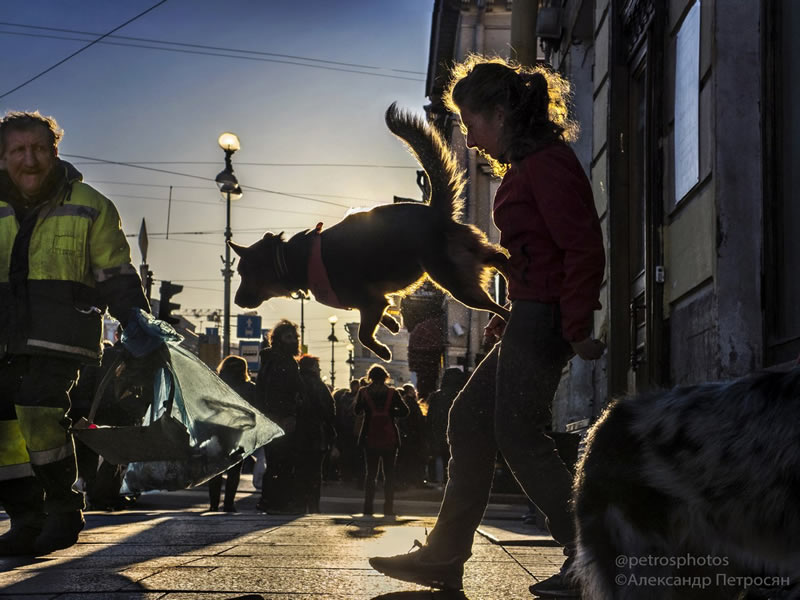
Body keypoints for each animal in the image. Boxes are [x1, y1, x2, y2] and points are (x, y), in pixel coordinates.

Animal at [230, 102, 506, 358]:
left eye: (245, 273)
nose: (236, 301)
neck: (297, 258)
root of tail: (435, 210)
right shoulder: (374, 302)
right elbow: (379, 316)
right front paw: (392, 324)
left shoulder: (371, 301)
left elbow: (363, 335)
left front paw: (382, 350)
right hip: (466, 261)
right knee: (498, 256)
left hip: (453, 280)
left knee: (497, 304)